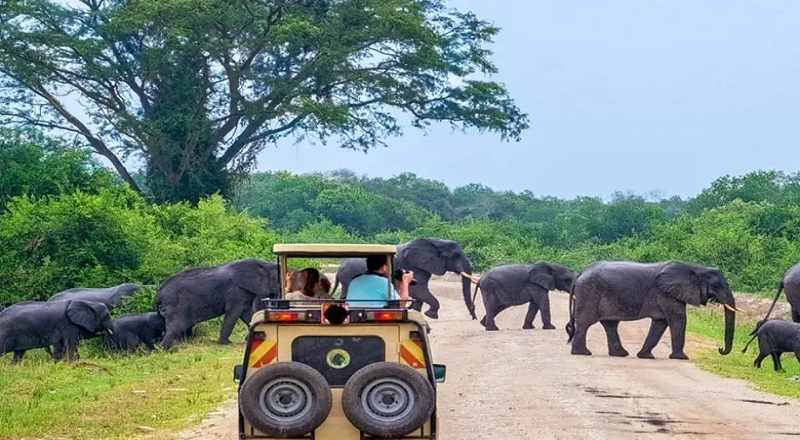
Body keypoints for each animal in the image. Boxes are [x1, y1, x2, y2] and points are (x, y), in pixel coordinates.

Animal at [332, 237, 476, 320]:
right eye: (455, 255)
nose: (473, 317)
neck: (436, 242)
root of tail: (338, 271)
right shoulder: (412, 265)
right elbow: (418, 289)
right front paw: (431, 315)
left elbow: (419, 290)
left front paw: (416, 311)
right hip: (349, 276)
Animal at [564, 260, 740, 360]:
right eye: (716, 285)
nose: (720, 349)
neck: (696, 268)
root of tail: (581, 273)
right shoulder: (667, 294)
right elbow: (678, 320)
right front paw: (681, 358)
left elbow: (660, 323)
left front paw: (646, 356)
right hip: (589, 292)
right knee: (585, 322)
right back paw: (583, 353)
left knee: (610, 324)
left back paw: (620, 354)